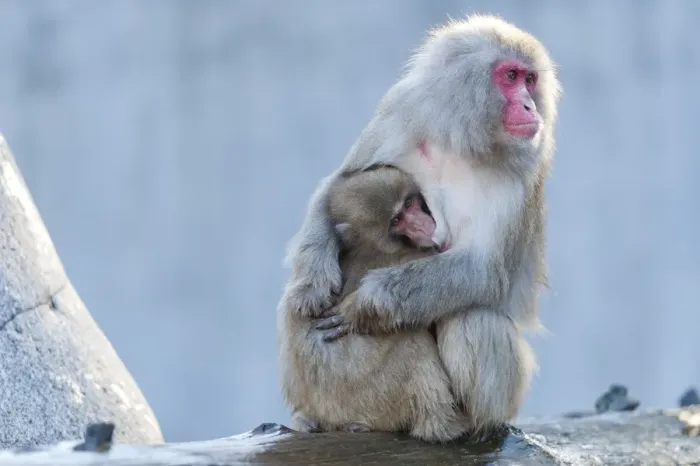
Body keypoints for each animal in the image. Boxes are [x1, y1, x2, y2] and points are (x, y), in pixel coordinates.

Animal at [277, 165, 467, 442]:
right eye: (396, 221)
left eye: (409, 203)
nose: (422, 224)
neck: (371, 246)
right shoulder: (415, 254)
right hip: (378, 403)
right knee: (413, 342)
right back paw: (443, 426)